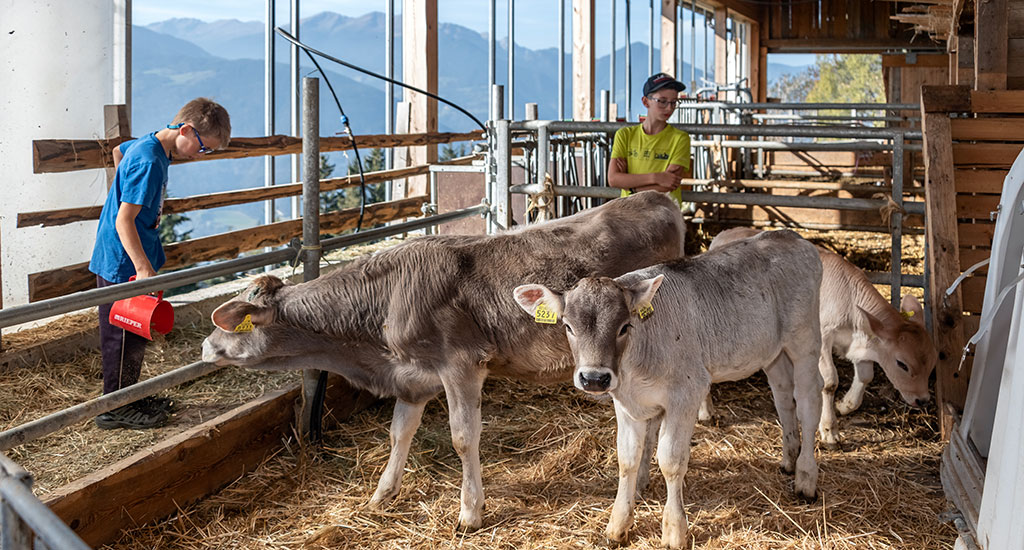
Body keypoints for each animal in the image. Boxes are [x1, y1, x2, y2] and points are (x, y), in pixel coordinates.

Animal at [512, 229, 823, 544]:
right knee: (783, 395)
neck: (636, 365)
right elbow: (627, 458)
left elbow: (671, 461)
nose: (594, 378)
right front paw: (618, 525)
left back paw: (806, 477)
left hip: (805, 340)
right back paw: (789, 458)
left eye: (624, 326)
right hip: (773, 352)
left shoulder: (686, 394)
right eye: (568, 326)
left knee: (808, 402)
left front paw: (674, 530)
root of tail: (788, 235)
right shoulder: (626, 401)